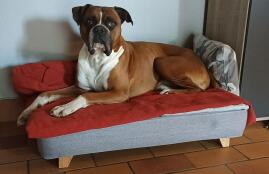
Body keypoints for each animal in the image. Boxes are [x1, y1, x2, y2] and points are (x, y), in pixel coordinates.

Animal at [16, 4, 214, 126]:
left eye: (111, 23)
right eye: (89, 21)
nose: (100, 29)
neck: (96, 58)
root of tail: (199, 58)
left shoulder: (118, 93)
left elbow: (85, 97)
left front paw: (64, 108)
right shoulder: (79, 87)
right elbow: (45, 93)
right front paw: (27, 112)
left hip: (161, 61)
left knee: (198, 89)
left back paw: (169, 91)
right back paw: (165, 86)